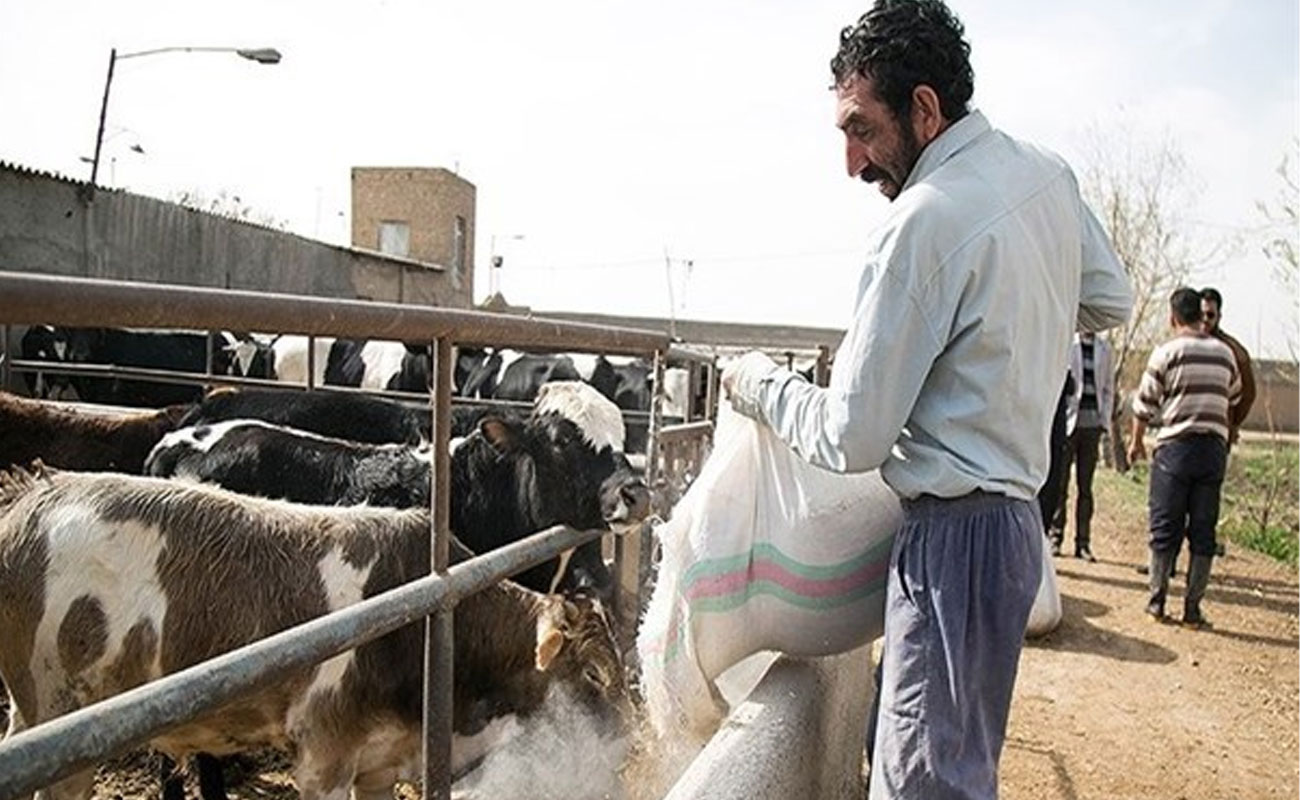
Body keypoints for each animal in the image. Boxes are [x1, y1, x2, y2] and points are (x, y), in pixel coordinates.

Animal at [0, 463, 629, 800]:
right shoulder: (325, 755)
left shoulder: (379, 761)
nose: (630, 743)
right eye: (596, 677)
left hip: (31, 713)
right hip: (65, 723)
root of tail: (32, 496)